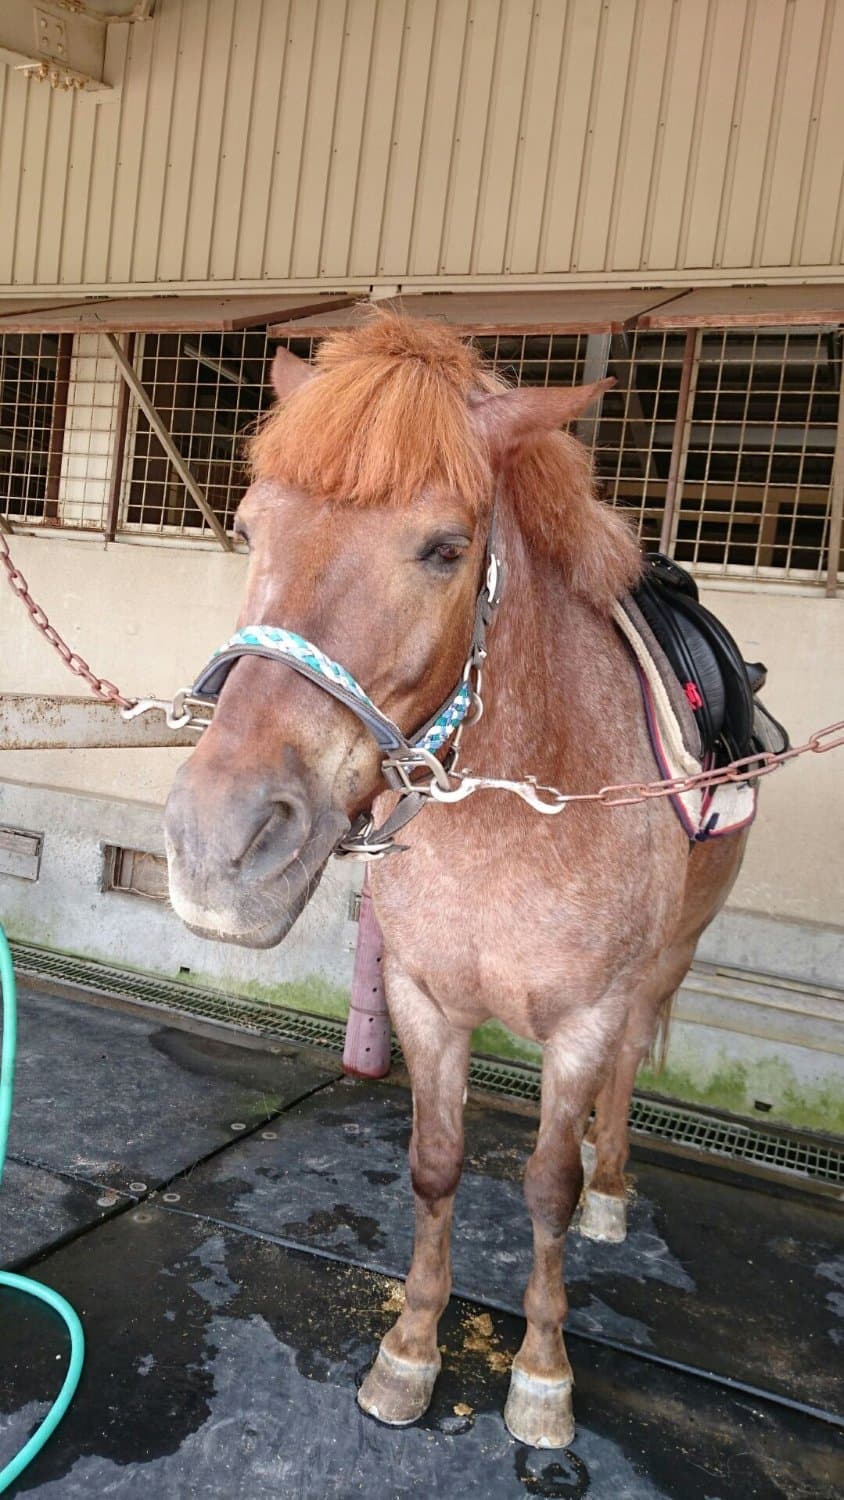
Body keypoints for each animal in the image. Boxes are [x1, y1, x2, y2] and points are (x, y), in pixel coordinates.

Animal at [164, 315, 748, 1449]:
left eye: (443, 548)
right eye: (250, 529)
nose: (219, 843)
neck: (516, 804)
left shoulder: (584, 1016)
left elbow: (546, 1187)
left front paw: (543, 1376)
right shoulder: (423, 1000)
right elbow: (435, 1167)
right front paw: (409, 1354)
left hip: (665, 960)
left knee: (625, 1076)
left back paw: (613, 1190)